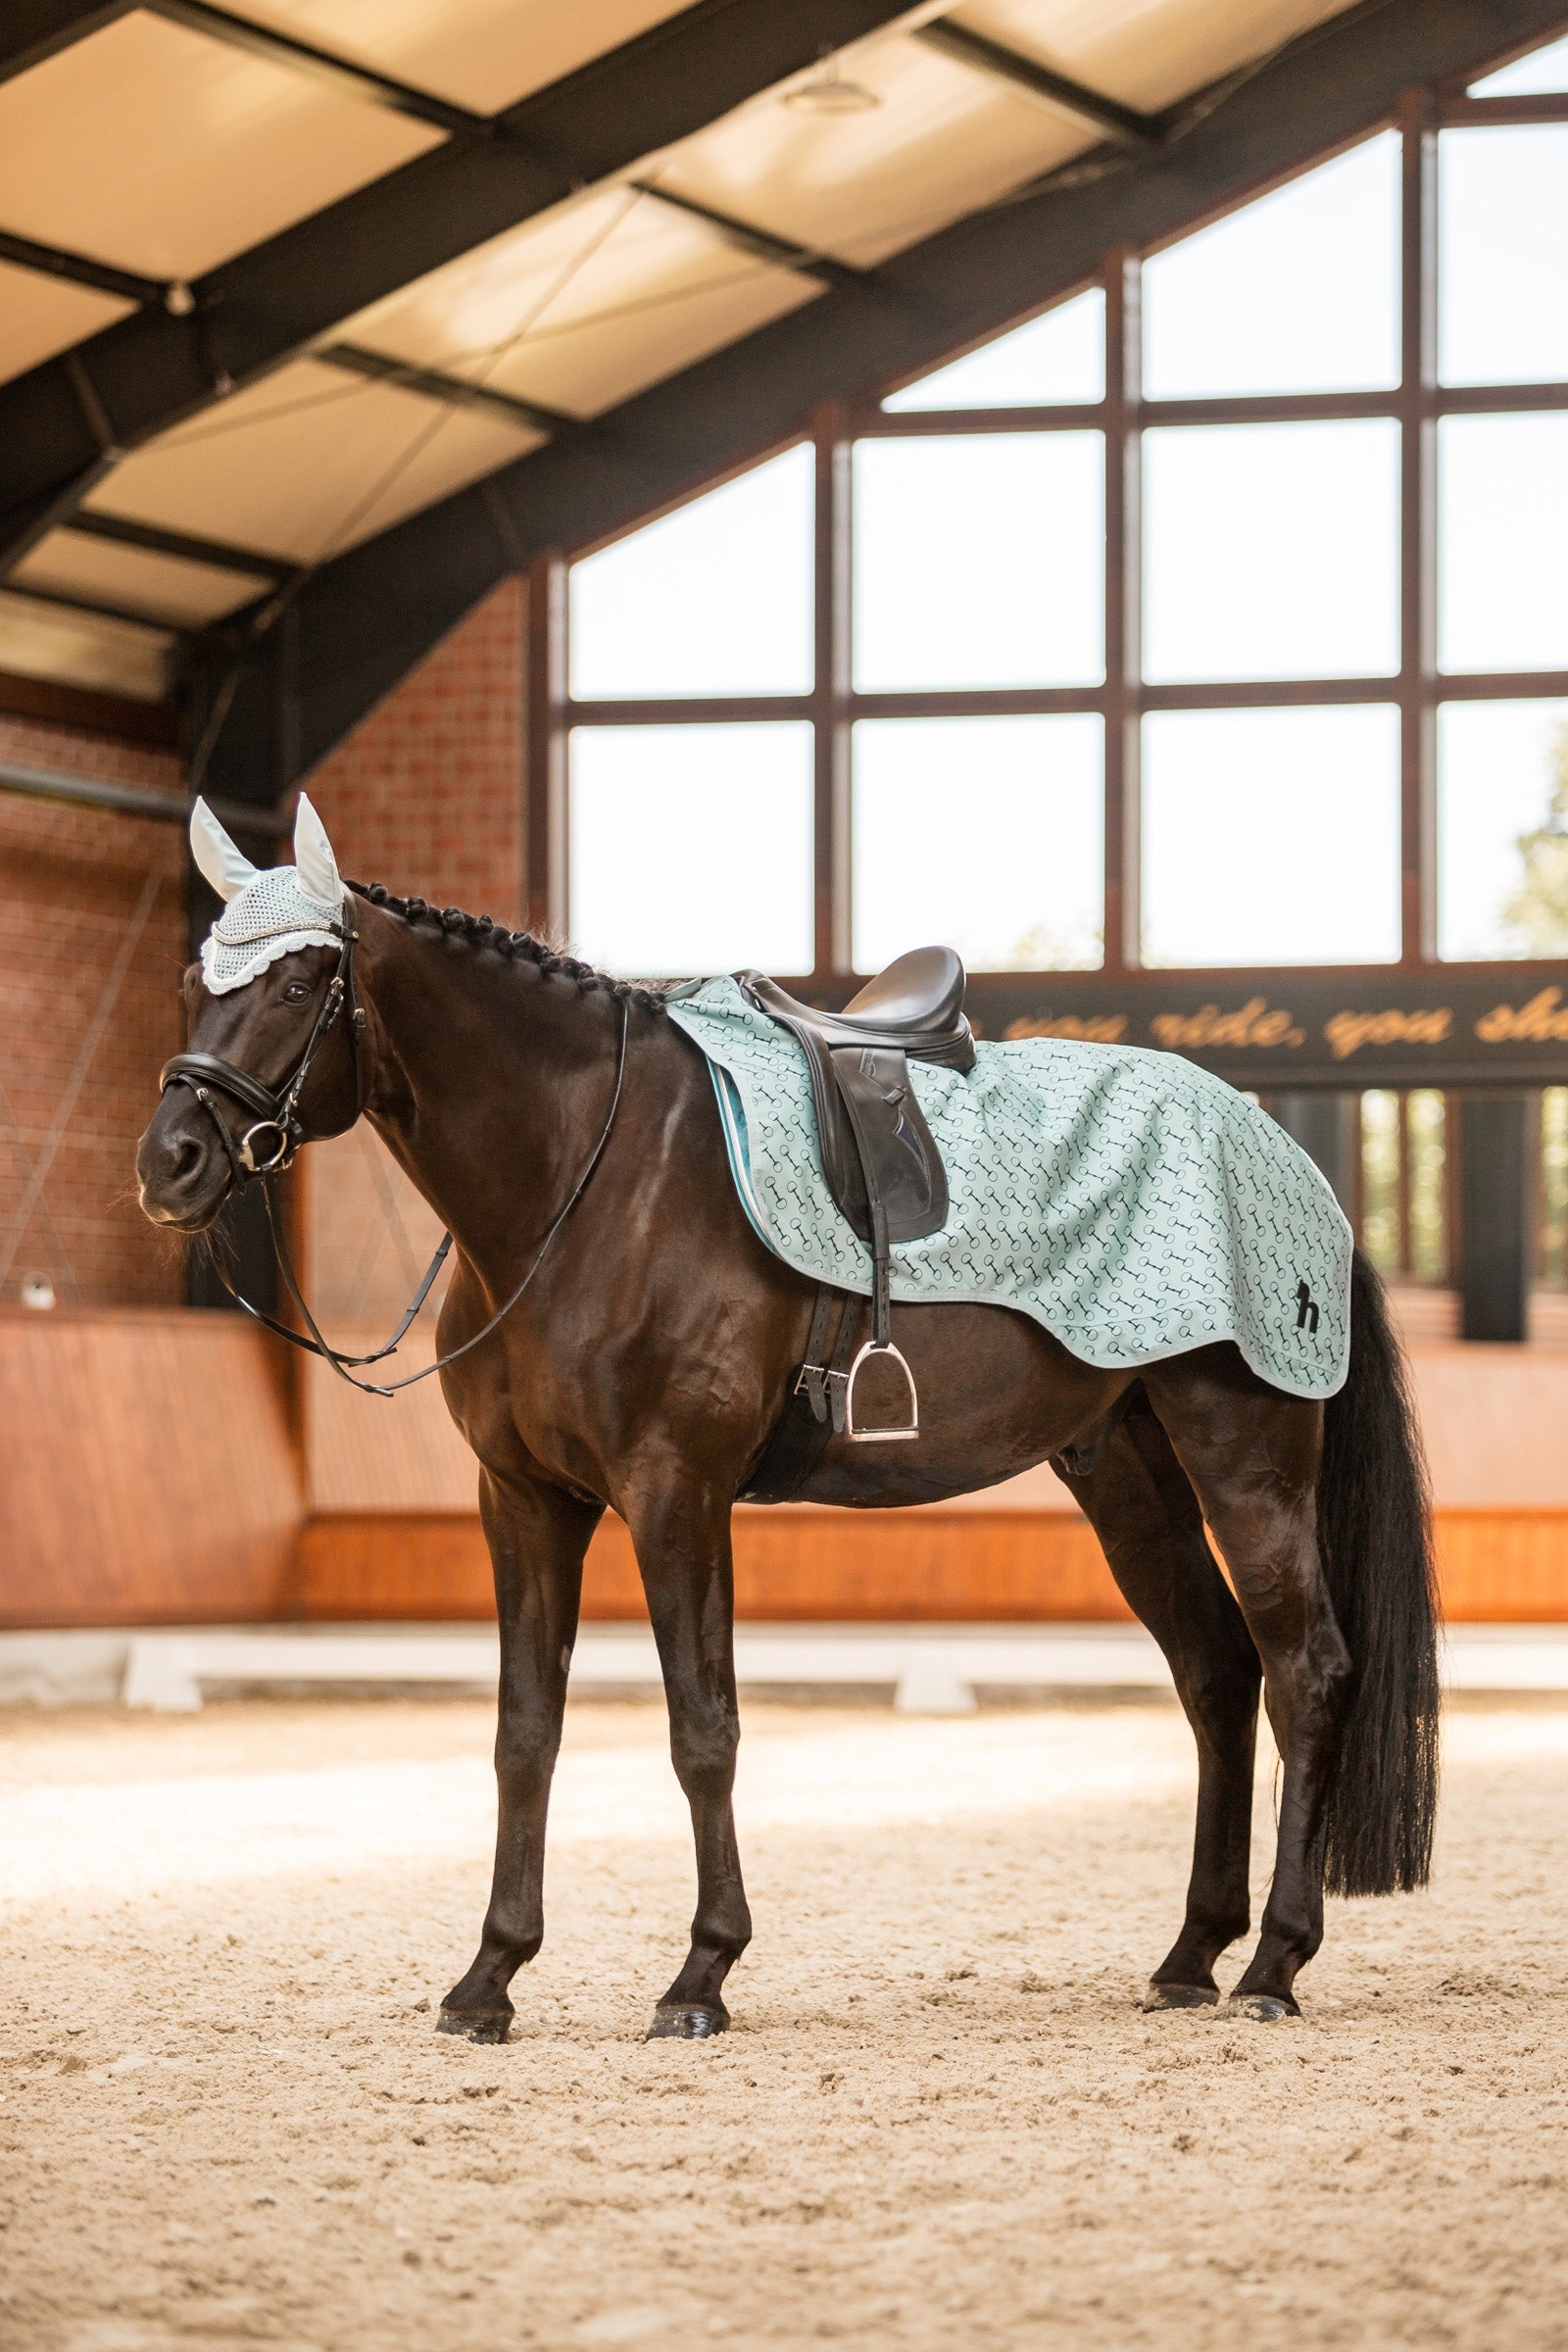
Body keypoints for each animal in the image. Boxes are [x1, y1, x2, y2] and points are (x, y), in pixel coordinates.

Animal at [136, 812, 1439, 2046]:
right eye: (198, 978)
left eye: (300, 986)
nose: (171, 1163)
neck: (590, 1184)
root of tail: (1282, 1155)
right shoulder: (524, 1500)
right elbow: (524, 1734)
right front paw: (489, 1979)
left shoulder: (676, 1491)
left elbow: (701, 1729)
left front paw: (700, 1976)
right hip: (1125, 1468)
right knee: (1215, 1672)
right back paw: (1189, 1957)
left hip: (1245, 1456)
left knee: (1304, 1671)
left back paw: (1272, 1966)